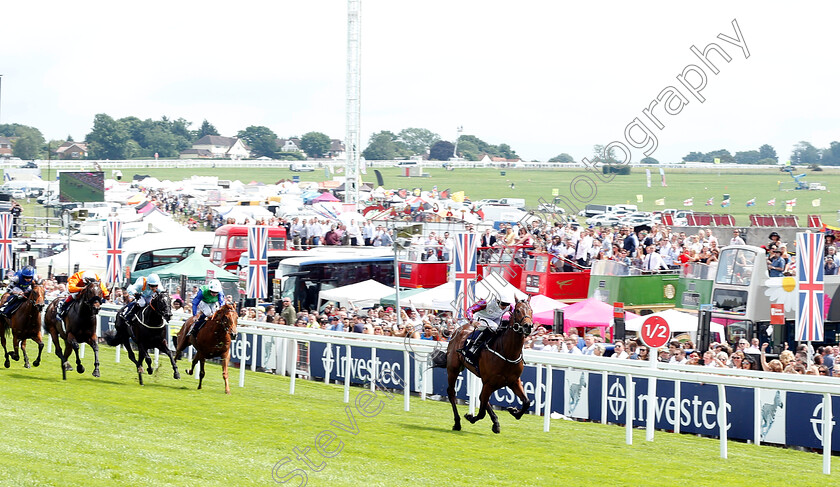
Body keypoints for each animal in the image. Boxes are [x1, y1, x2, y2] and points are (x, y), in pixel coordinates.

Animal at [434, 290, 532, 434]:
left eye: (531, 310)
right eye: (518, 310)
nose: (528, 326)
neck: (507, 352)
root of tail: (458, 329)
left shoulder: (513, 381)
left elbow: (526, 402)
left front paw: (514, 411)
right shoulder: (490, 382)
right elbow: (481, 412)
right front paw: (470, 417)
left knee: (482, 398)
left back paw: (495, 422)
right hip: (453, 368)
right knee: (452, 392)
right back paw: (457, 423)